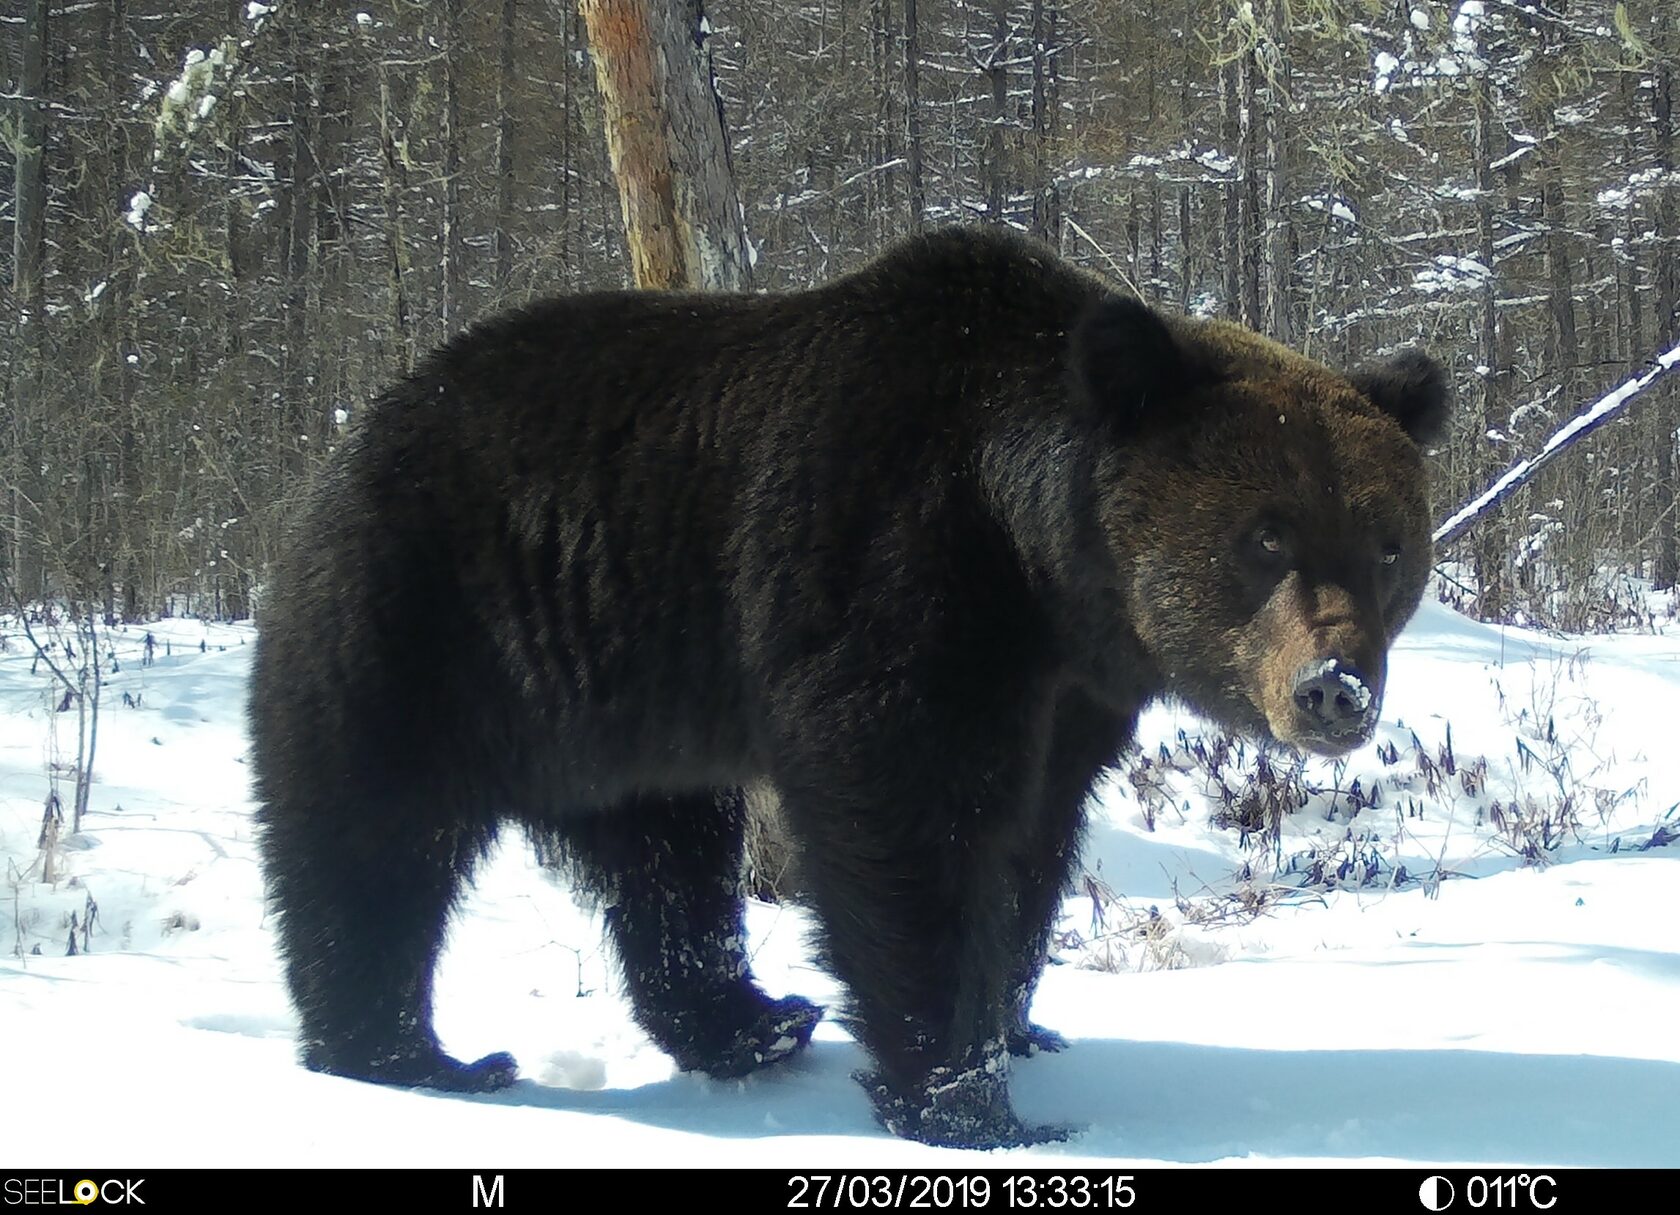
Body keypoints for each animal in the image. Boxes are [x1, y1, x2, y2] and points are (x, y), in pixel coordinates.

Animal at [245, 225, 1444, 1149]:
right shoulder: (886, 573)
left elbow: (1031, 843)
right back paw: (415, 1055)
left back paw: (753, 1019)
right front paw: (970, 1101)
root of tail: (354, 430)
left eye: (1388, 543)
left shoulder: (1070, 696)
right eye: (1267, 534)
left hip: (620, 701)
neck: (1037, 563)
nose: (1335, 688)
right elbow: (908, 824)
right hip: (426, 620)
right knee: (371, 840)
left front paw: (1018, 1025)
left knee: (667, 863)